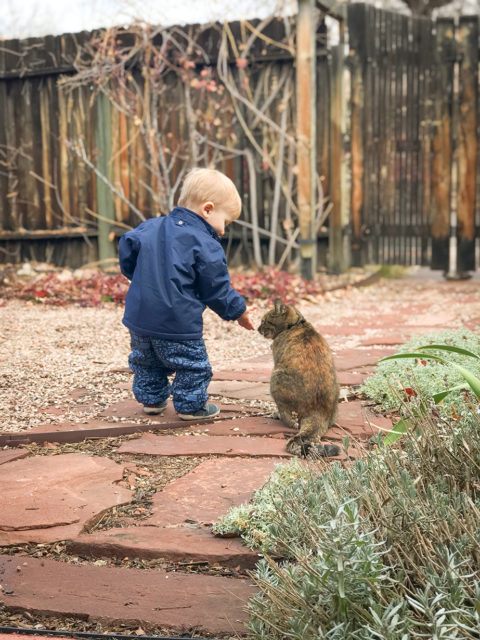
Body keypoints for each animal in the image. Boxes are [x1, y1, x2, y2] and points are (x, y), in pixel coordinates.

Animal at [258, 298, 342, 458]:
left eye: (264, 321)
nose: (257, 328)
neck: (296, 324)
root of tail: (319, 411)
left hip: (276, 377)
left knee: (289, 418)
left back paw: (278, 415)